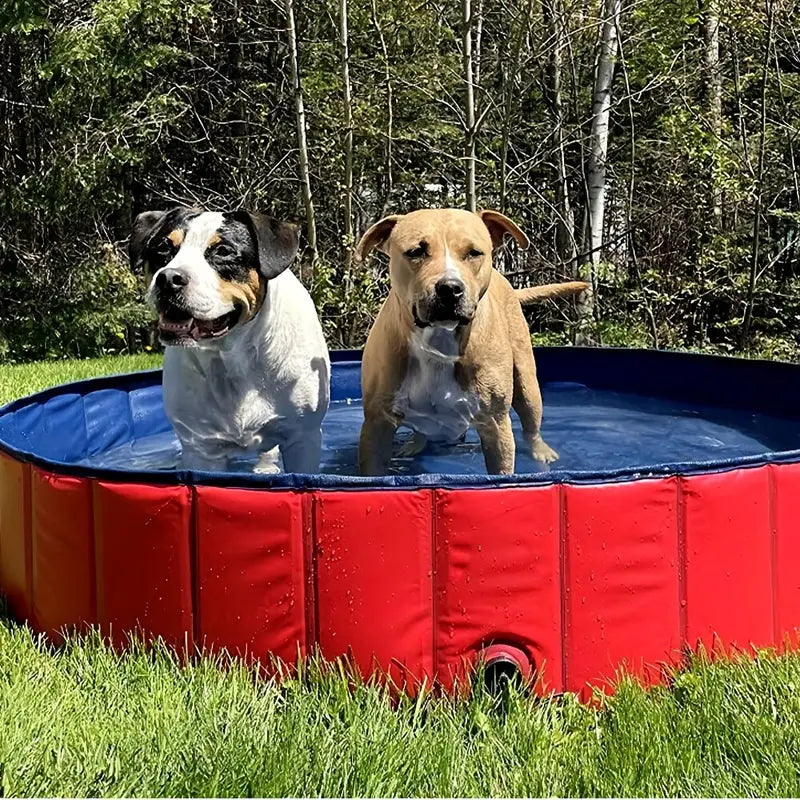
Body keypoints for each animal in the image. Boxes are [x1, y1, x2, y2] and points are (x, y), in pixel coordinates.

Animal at [130, 206, 330, 476]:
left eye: (223, 251)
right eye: (162, 247)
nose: (169, 278)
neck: (231, 354)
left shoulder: (303, 438)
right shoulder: (202, 448)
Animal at [356, 209, 588, 478]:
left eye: (474, 252)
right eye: (416, 251)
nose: (450, 288)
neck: (439, 341)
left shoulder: (496, 425)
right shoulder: (377, 425)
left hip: (527, 383)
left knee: (531, 423)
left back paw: (541, 451)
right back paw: (415, 444)